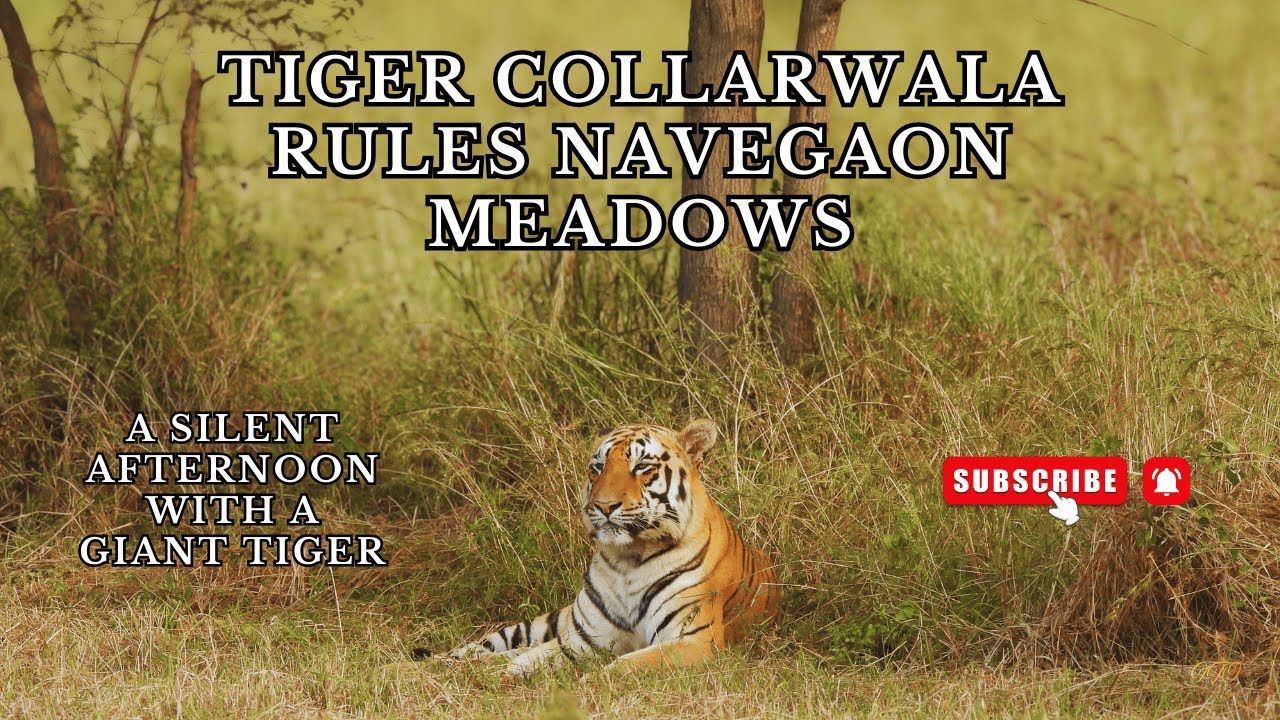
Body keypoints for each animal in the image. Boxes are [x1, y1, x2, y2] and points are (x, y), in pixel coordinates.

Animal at [428, 418, 779, 676]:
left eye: (642, 467)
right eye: (597, 467)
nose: (603, 505)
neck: (629, 560)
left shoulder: (694, 641)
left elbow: (624, 666)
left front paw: (591, 682)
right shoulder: (586, 638)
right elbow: (529, 658)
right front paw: (498, 674)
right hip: (544, 623)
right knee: (488, 645)